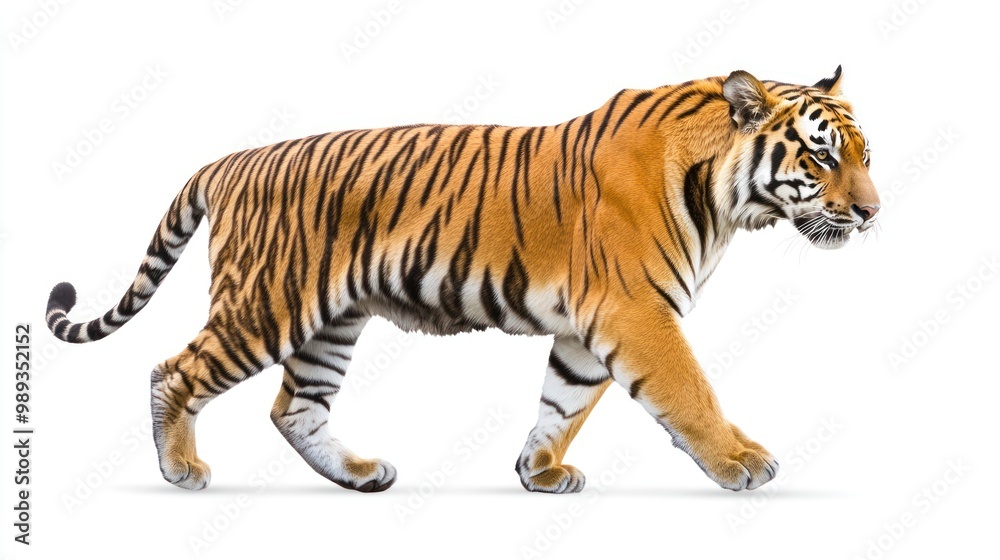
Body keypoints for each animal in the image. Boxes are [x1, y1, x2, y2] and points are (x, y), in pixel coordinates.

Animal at [45, 66, 879, 494]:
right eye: (822, 156)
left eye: (865, 154)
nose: (874, 212)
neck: (727, 199)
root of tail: (231, 160)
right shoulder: (637, 310)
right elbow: (689, 391)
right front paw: (742, 462)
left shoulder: (592, 327)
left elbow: (563, 403)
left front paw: (538, 471)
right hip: (266, 306)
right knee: (171, 371)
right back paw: (180, 469)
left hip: (330, 322)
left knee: (294, 409)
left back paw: (359, 475)